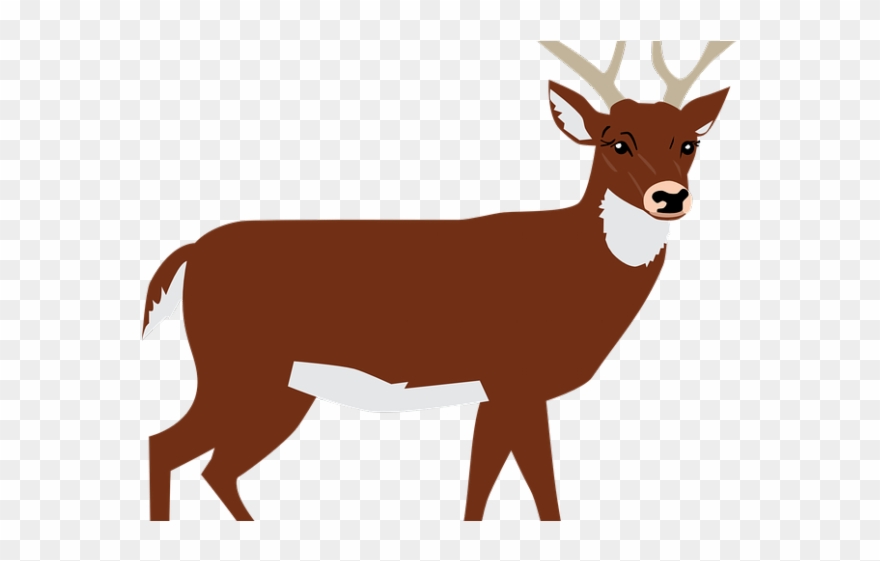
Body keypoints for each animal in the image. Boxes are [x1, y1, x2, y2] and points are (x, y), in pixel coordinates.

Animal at [142, 41, 733, 521]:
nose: (669, 197)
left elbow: (479, 485)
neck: (574, 268)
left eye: (689, 144)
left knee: (213, 467)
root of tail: (192, 254)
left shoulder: (495, 391)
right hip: (237, 366)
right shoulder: (515, 377)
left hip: (281, 387)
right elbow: (541, 486)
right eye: (616, 143)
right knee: (165, 446)